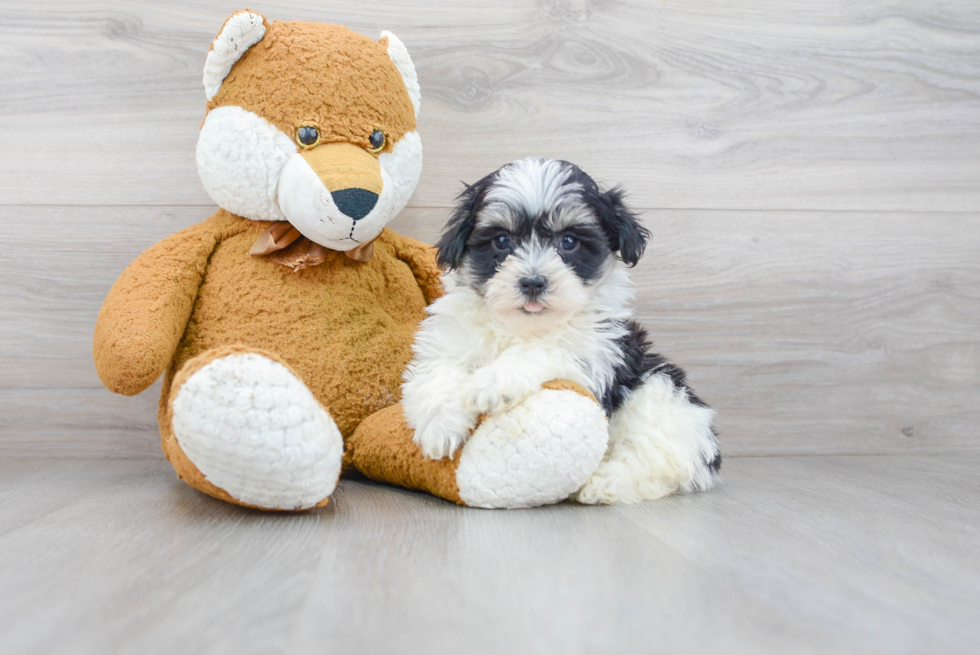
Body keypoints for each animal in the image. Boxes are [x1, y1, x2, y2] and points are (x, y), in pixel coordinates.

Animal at [400, 160, 720, 508]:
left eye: (568, 241)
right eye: (501, 240)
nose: (532, 282)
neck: (520, 326)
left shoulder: (596, 355)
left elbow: (546, 348)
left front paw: (493, 382)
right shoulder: (447, 341)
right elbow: (438, 372)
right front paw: (439, 425)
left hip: (661, 396)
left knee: (657, 461)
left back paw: (604, 482)